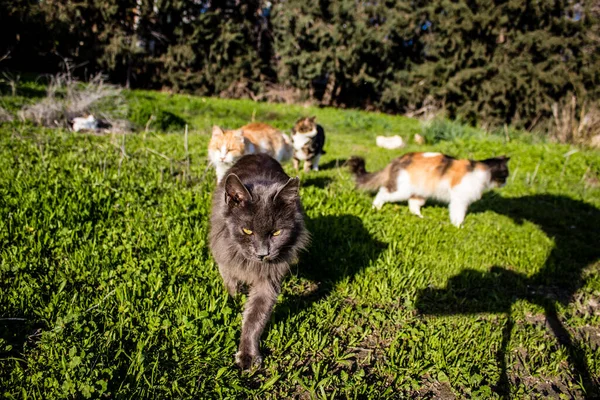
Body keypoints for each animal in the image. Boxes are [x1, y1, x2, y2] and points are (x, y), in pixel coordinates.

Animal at [209, 152, 310, 368]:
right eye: (247, 231)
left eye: (277, 233)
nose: (263, 253)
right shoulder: (224, 255)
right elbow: (230, 281)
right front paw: (234, 298)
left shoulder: (268, 280)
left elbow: (255, 318)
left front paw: (247, 354)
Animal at [346, 152, 510, 227]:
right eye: (505, 175)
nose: (506, 183)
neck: (483, 170)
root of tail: (397, 159)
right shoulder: (459, 200)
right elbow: (458, 214)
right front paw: (458, 226)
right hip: (401, 190)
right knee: (383, 192)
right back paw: (376, 207)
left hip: (420, 192)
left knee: (413, 205)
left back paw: (419, 217)